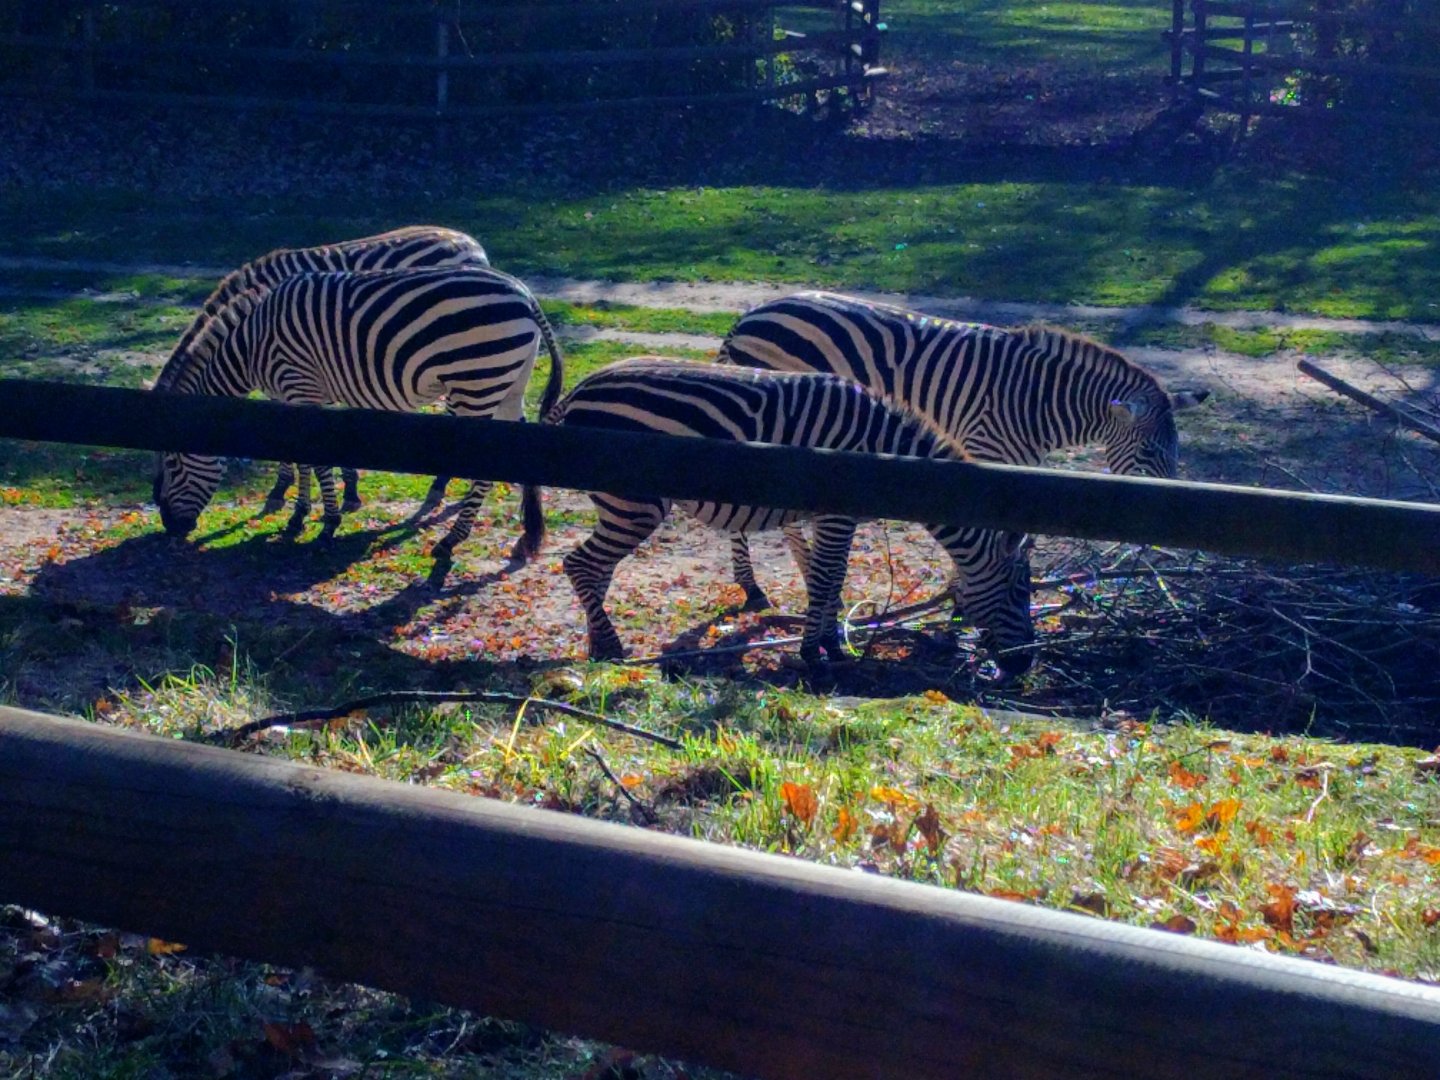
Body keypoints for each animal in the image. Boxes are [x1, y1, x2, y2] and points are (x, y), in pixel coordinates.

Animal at [152, 264, 563, 563]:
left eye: (172, 463)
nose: (169, 527)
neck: (252, 345)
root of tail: (524, 294)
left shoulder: (299, 385)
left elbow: (316, 461)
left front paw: (327, 525)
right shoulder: (301, 394)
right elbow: (303, 460)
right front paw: (299, 516)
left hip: (477, 382)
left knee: (483, 469)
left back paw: (450, 541)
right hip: (507, 384)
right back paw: (526, 535)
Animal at [543, 356, 1031, 672]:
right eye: (1016, 591)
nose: (1025, 664)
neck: (887, 457)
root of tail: (580, 390)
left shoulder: (834, 517)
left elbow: (831, 575)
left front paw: (831, 645)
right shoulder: (835, 512)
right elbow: (828, 575)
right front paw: (815, 653)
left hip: (618, 506)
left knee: (595, 570)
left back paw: (596, 645)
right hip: (635, 503)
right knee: (580, 564)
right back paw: (612, 648)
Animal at [717, 291, 1208, 658]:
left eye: (1175, 453)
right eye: (1148, 452)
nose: (1167, 521)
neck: (1038, 401)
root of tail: (751, 315)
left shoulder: (1020, 464)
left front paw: (968, 599)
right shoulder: (983, 451)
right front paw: (963, 606)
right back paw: (753, 587)